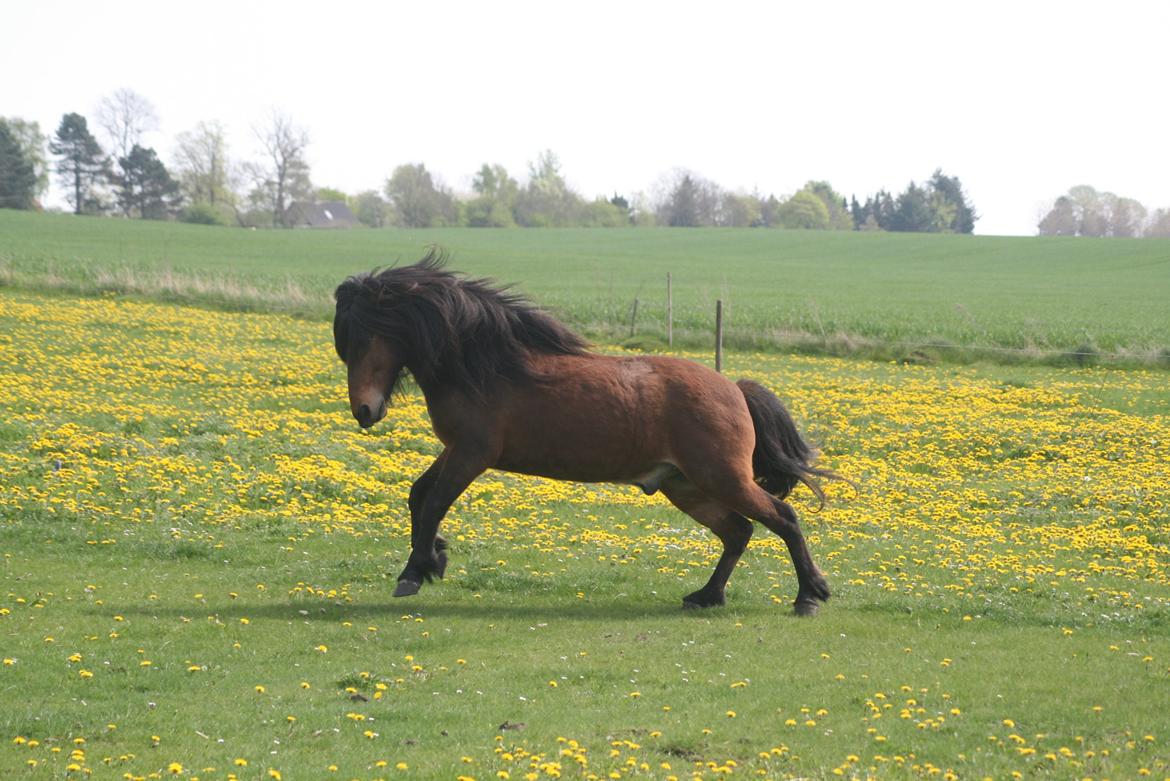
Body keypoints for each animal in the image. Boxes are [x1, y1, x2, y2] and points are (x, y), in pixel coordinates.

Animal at [332, 253, 842, 612]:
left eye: (362, 338)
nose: (364, 410)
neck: (486, 366)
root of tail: (733, 388)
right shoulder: (456, 450)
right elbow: (419, 495)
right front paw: (433, 558)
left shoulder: (472, 454)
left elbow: (435, 501)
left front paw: (415, 571)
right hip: (686, 486)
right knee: (738, 532)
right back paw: (707, 596)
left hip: (722, 478)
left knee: (783, 518)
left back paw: (809, 596)